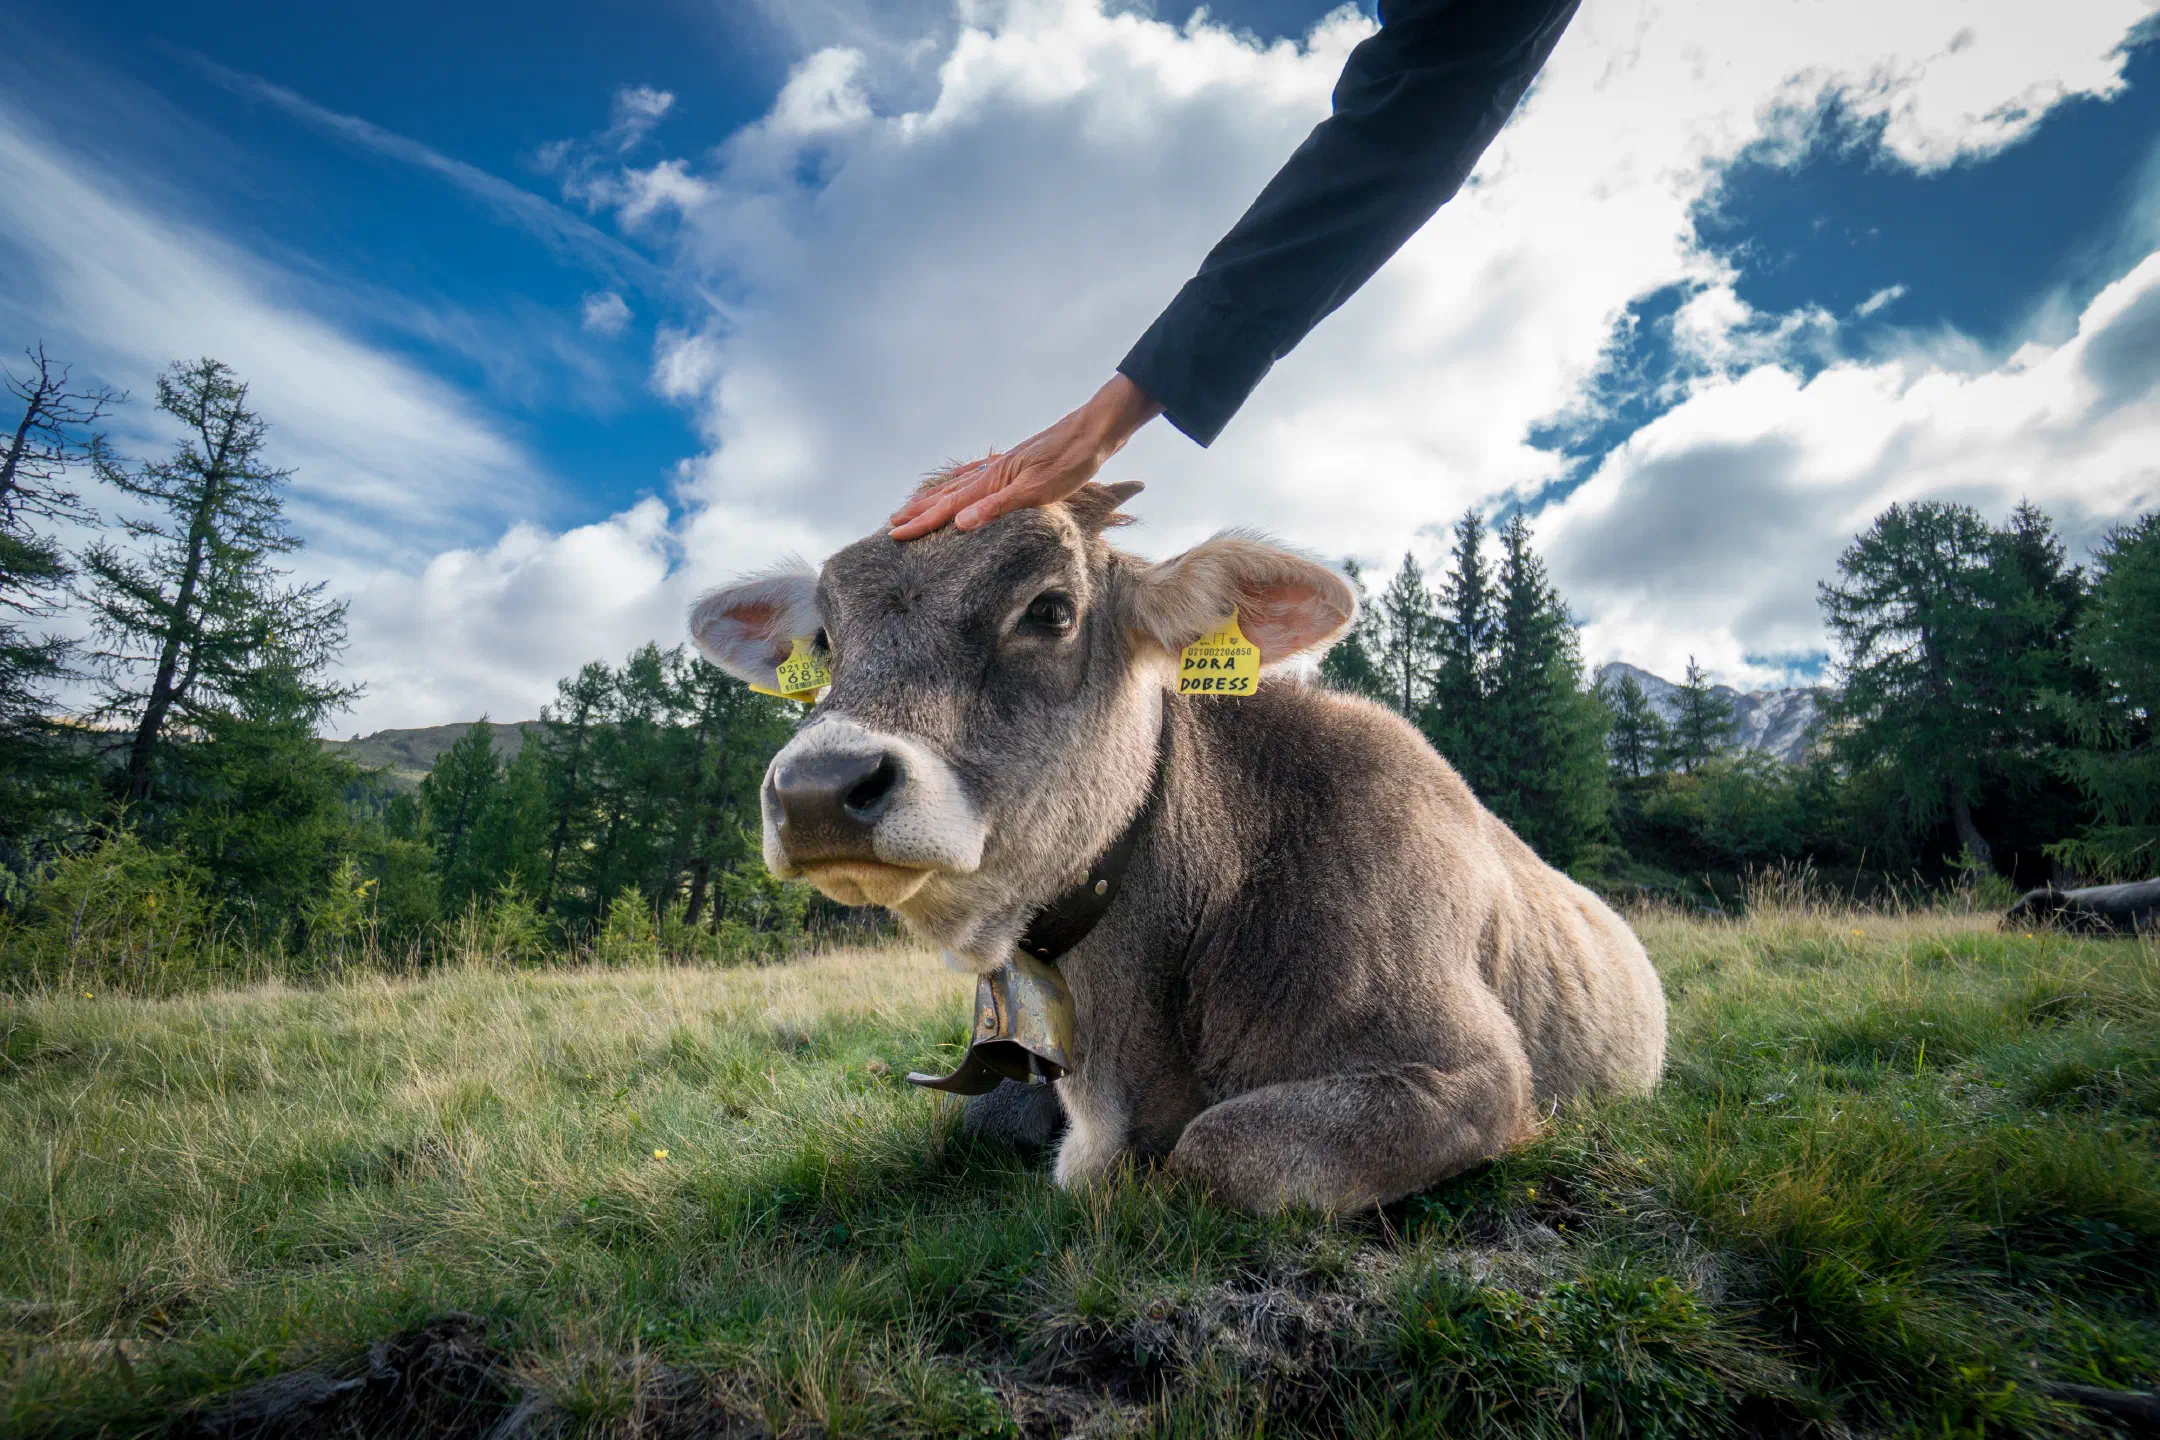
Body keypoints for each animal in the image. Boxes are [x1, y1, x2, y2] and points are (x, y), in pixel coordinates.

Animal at [689, 483, 1666, 1214]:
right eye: (825, 639)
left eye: (1050, 610)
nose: (817, 789)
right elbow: (973, 1121)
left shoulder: (1477, 1075)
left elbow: (1217, 1149)